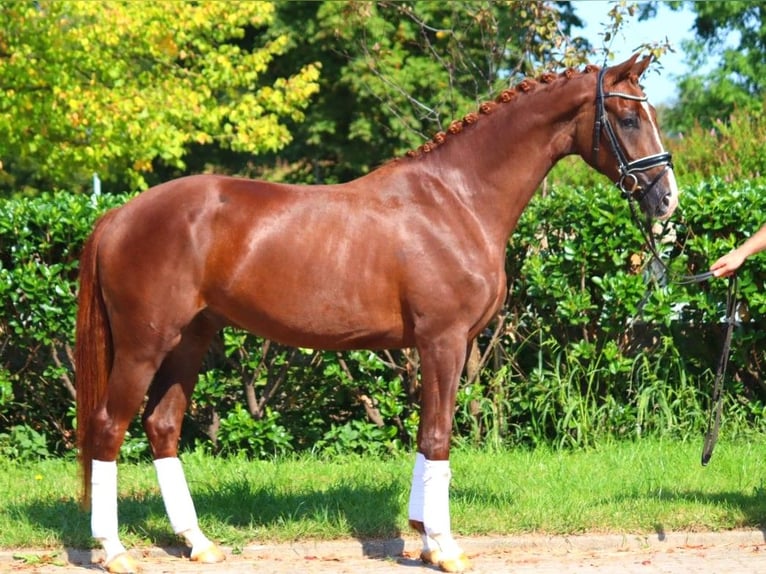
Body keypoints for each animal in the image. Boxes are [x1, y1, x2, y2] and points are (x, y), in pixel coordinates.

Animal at [76, 55, 680, 574]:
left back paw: (198, 543)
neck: (456, 200)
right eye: (628, 117)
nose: (667, 200)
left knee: (162, 426)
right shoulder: (443, 341)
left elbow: (426, 433)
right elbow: (438, 436)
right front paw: (445, 547)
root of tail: (118, 216)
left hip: (190, 340)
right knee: (109, 427)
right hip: (144, 345)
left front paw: (424, 537)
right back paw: (115, 551)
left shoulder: (436, 346)